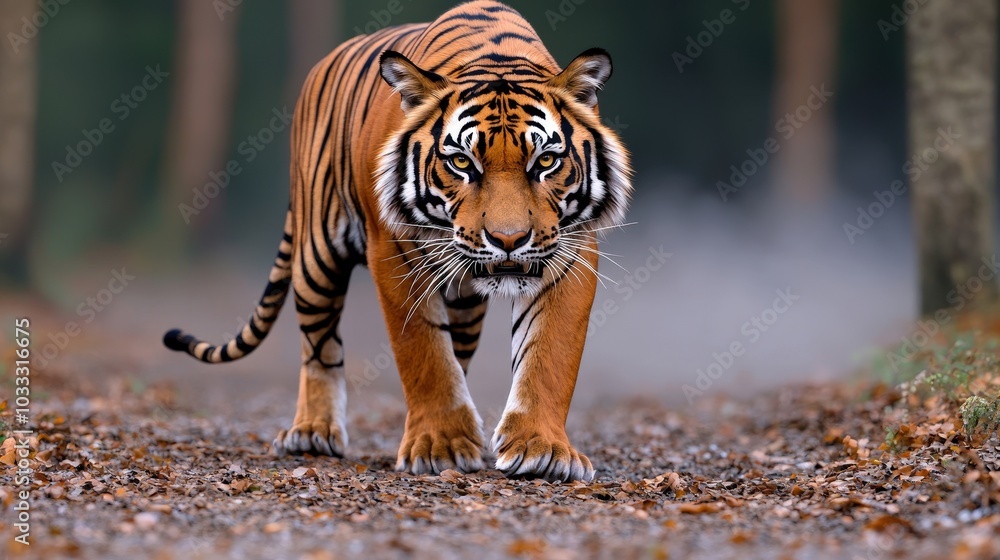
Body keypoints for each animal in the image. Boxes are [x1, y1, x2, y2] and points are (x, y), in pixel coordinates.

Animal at [163, 0, 632, 482]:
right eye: (462, 162)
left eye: (546, 161)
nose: (509, 239)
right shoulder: (393, 252)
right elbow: (423, 353)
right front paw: (441, 445)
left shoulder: (572, 249)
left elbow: (549, 354)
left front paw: (542, 450)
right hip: (315, 257)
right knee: (319, 346)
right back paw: (312, 432)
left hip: (464, 303)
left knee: (458, 350)